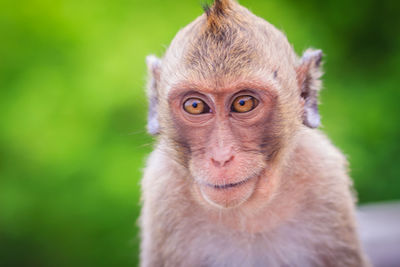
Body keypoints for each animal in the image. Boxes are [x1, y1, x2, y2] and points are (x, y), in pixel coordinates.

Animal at [140, 1, 368, 266]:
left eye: (243, 103)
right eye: (195, 106)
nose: (221, 157)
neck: (247, 214)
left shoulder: (325, 177)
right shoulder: (162, 190)